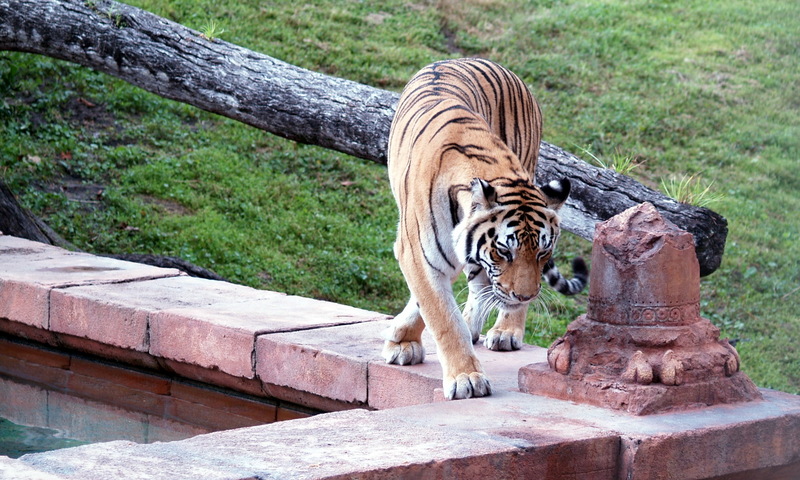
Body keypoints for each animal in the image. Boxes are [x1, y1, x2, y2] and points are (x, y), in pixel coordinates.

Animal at [382, 57, 588, 402]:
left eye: (543, 252)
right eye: (504, 251)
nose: (525, 295)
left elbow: (439, 308)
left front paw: (464, 376)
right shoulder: (420, 252)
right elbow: (441, 314)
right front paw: (461, 373)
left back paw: (505, 331)